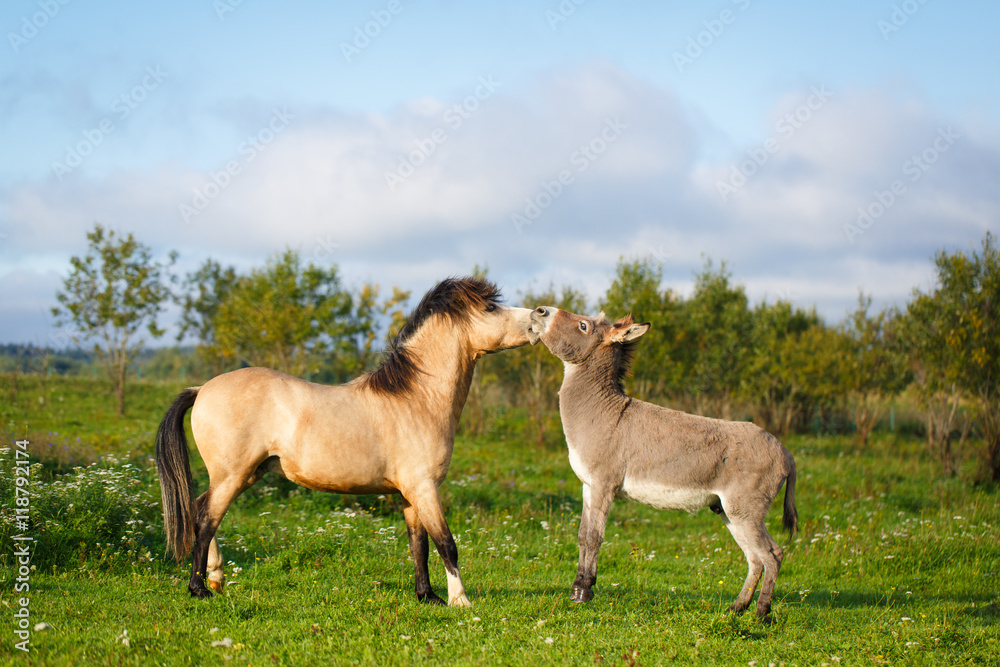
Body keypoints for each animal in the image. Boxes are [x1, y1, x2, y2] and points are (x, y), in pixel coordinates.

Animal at [155, 277, 538, 606]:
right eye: (490, 308)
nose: (537, 319)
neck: (416, 399)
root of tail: (202, 389)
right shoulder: (425, 488)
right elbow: (446, 543)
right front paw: (460, 601)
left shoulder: (411, 494)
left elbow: (419, 545)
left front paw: (427, 596)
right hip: (232, 475)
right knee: (205, 519)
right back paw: (199, 589)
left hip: (245, 474)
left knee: (200, 509)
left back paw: (216, 578)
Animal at [529, 307, 797, 622]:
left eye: (583, 326)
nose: (539, 310)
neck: (603, 412)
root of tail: (785, 452)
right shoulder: (588, 486)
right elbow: (583, 535)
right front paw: (579, 587)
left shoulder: (604, 485)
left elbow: (595, 537)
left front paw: (583, 592)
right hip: (730, 512)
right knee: (755, 558)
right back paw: (736, 608)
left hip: (746, 511)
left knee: (773, 554)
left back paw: (761, 614)